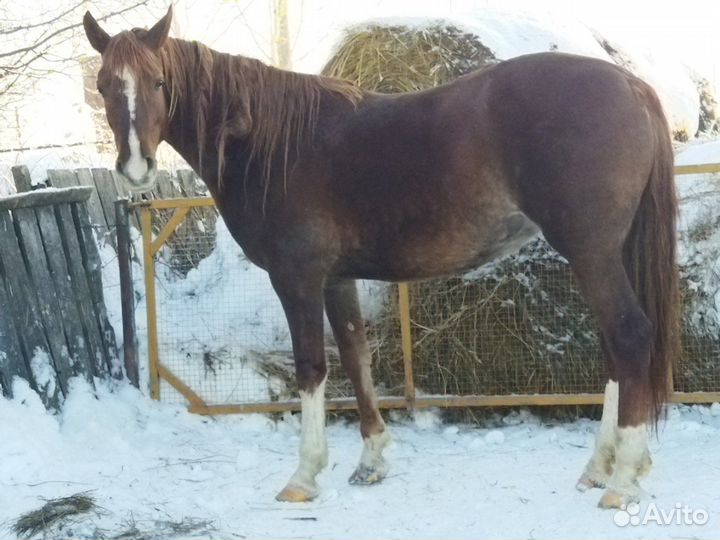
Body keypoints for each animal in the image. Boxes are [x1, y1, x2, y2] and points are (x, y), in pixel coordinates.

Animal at [83, 7, 679, 509]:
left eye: (159, 83)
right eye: (104, 85)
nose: (135, 170)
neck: (269, 142)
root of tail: (630, 83)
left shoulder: (297, 278)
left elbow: (312, 367)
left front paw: (305, 475)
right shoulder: (337, 278)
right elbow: (356, 359)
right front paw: (371, 462)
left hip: (590, 250)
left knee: (628, 336)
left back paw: (622, 480)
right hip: (607, 252)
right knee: (614, 348)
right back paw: (602, 467)